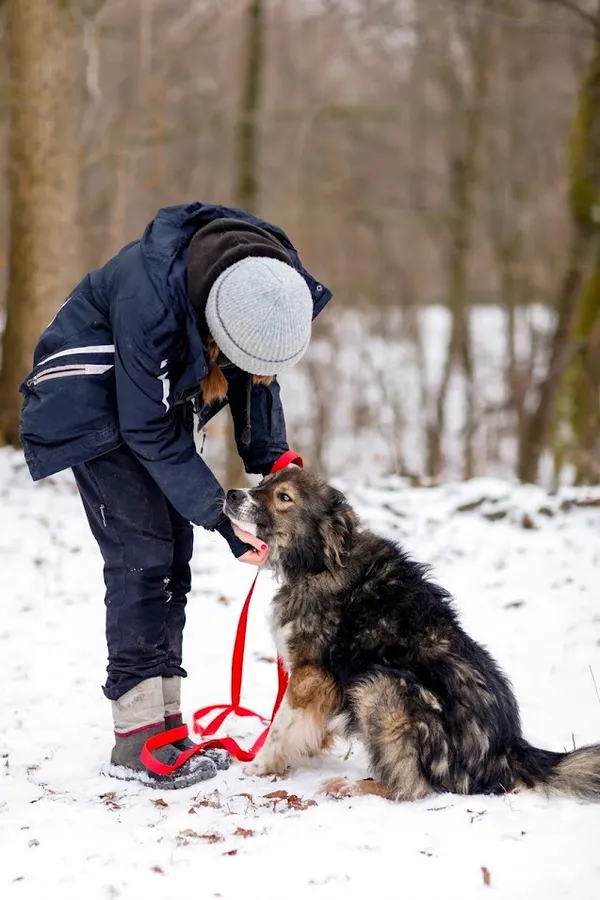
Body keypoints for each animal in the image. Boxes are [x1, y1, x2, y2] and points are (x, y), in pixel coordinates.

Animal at [224, 468, 600, 800]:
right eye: (263, 482)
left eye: (283, 497)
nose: (231, 494)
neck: (322, 561)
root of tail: (509, 750)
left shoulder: (310, 674)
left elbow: (279, 725)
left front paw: (259, 765)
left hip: (379, 690)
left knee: (413, 788)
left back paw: (352, 786)